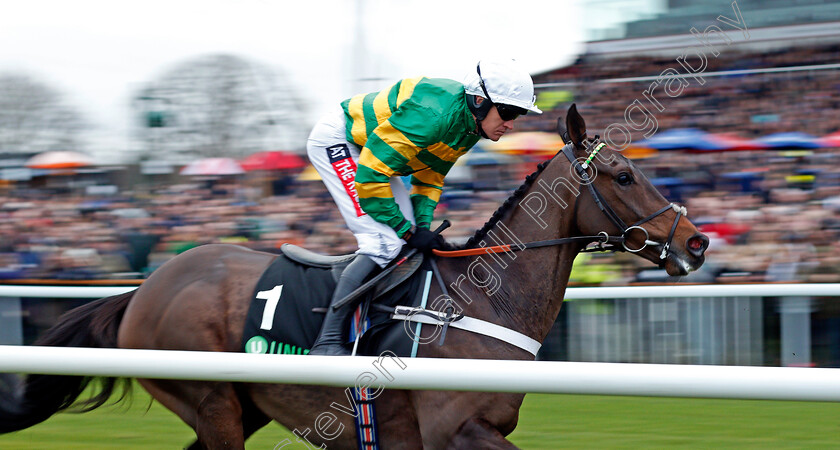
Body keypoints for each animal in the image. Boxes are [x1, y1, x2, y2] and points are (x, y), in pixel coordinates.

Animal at [0, 104, 708, 446]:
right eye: (624, 175)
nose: (697, 242)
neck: (479, 304)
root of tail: (146, 286)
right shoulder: (457, 431)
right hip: (212, 404)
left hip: (240, 408)